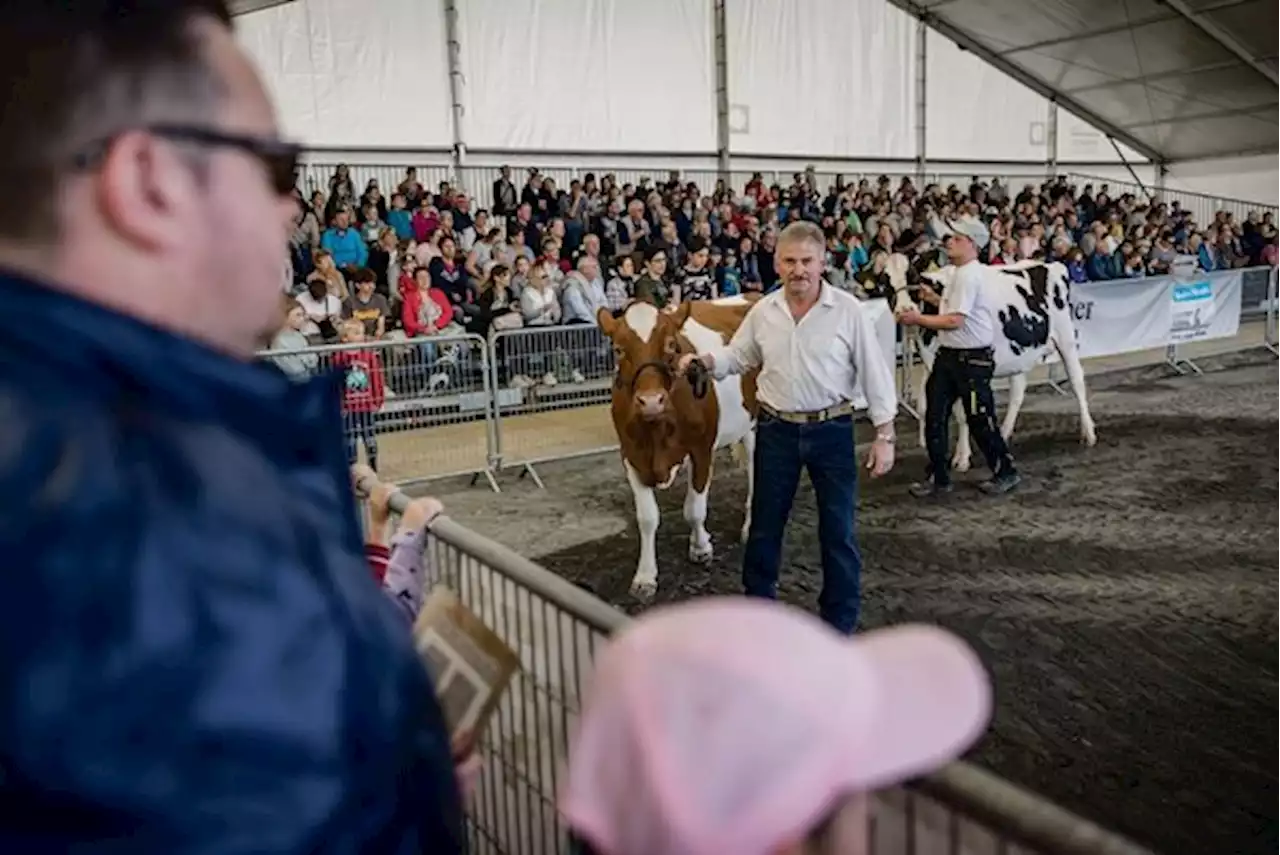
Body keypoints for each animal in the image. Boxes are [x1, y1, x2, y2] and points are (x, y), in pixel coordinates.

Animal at [599, 296, 757, 599]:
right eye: (618, 349)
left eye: (672, 344)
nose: (651, 401)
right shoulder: (631, 455)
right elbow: (647, 518)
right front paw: (645, 576)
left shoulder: (702, 449)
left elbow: (694, 509)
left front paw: (701, 547)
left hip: (758, 420)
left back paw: (749, 526)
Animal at [885, 253, 1095, 471]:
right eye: (885, 282)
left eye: (912, 275)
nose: (905, 310)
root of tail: (1048, 263)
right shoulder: (931, 362)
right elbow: (923, 406)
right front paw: (927, 444)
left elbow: (962, 413)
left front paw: (962, 457)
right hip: (1018, 351)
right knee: (1018, 390)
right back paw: (1004, 433)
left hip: (1066, 338)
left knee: (1077, 381)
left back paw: (1088, 433)